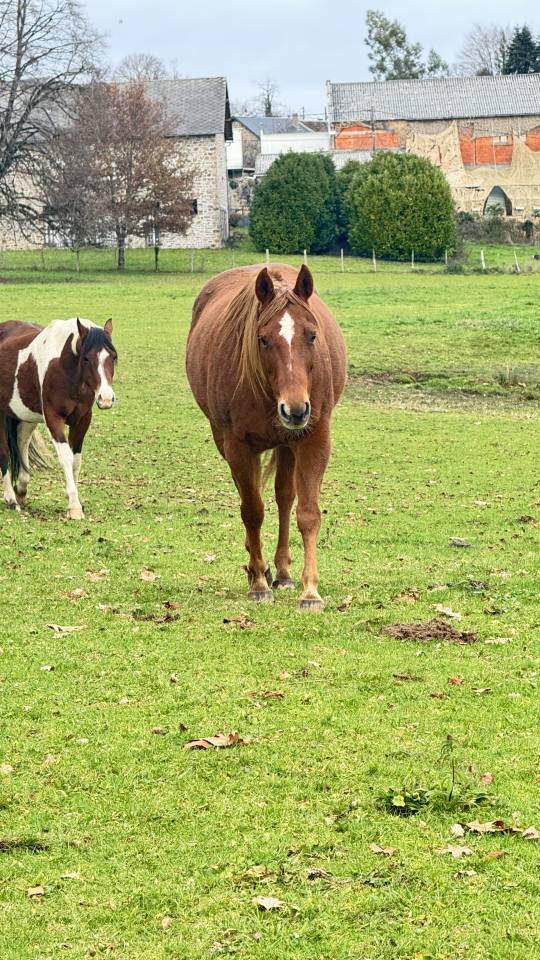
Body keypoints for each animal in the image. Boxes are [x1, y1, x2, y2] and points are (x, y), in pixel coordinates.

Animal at [0, 317, 117, 519]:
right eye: (86, 358)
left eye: (113, 357)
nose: (106, 398)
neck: (65, 368)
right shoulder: (54, 419)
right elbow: (66, 458)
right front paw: (74, 507)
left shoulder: (82, 420)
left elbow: (76, 461)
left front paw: (76, 501)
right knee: (4, 451)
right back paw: (11, 499)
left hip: (26, 413)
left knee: (22, 441)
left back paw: (21, 489)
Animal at [186, 263, 347, 611]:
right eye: (263, 339)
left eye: (312, 335)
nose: (295, 409)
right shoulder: (237, 445)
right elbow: (252, 512)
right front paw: (259, 582)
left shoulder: (315, 438)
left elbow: (308, 513)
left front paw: (310, 591)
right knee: (250, 499)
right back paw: (256, 568)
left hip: (287, 445)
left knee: (285, 497)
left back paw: (283, 571)